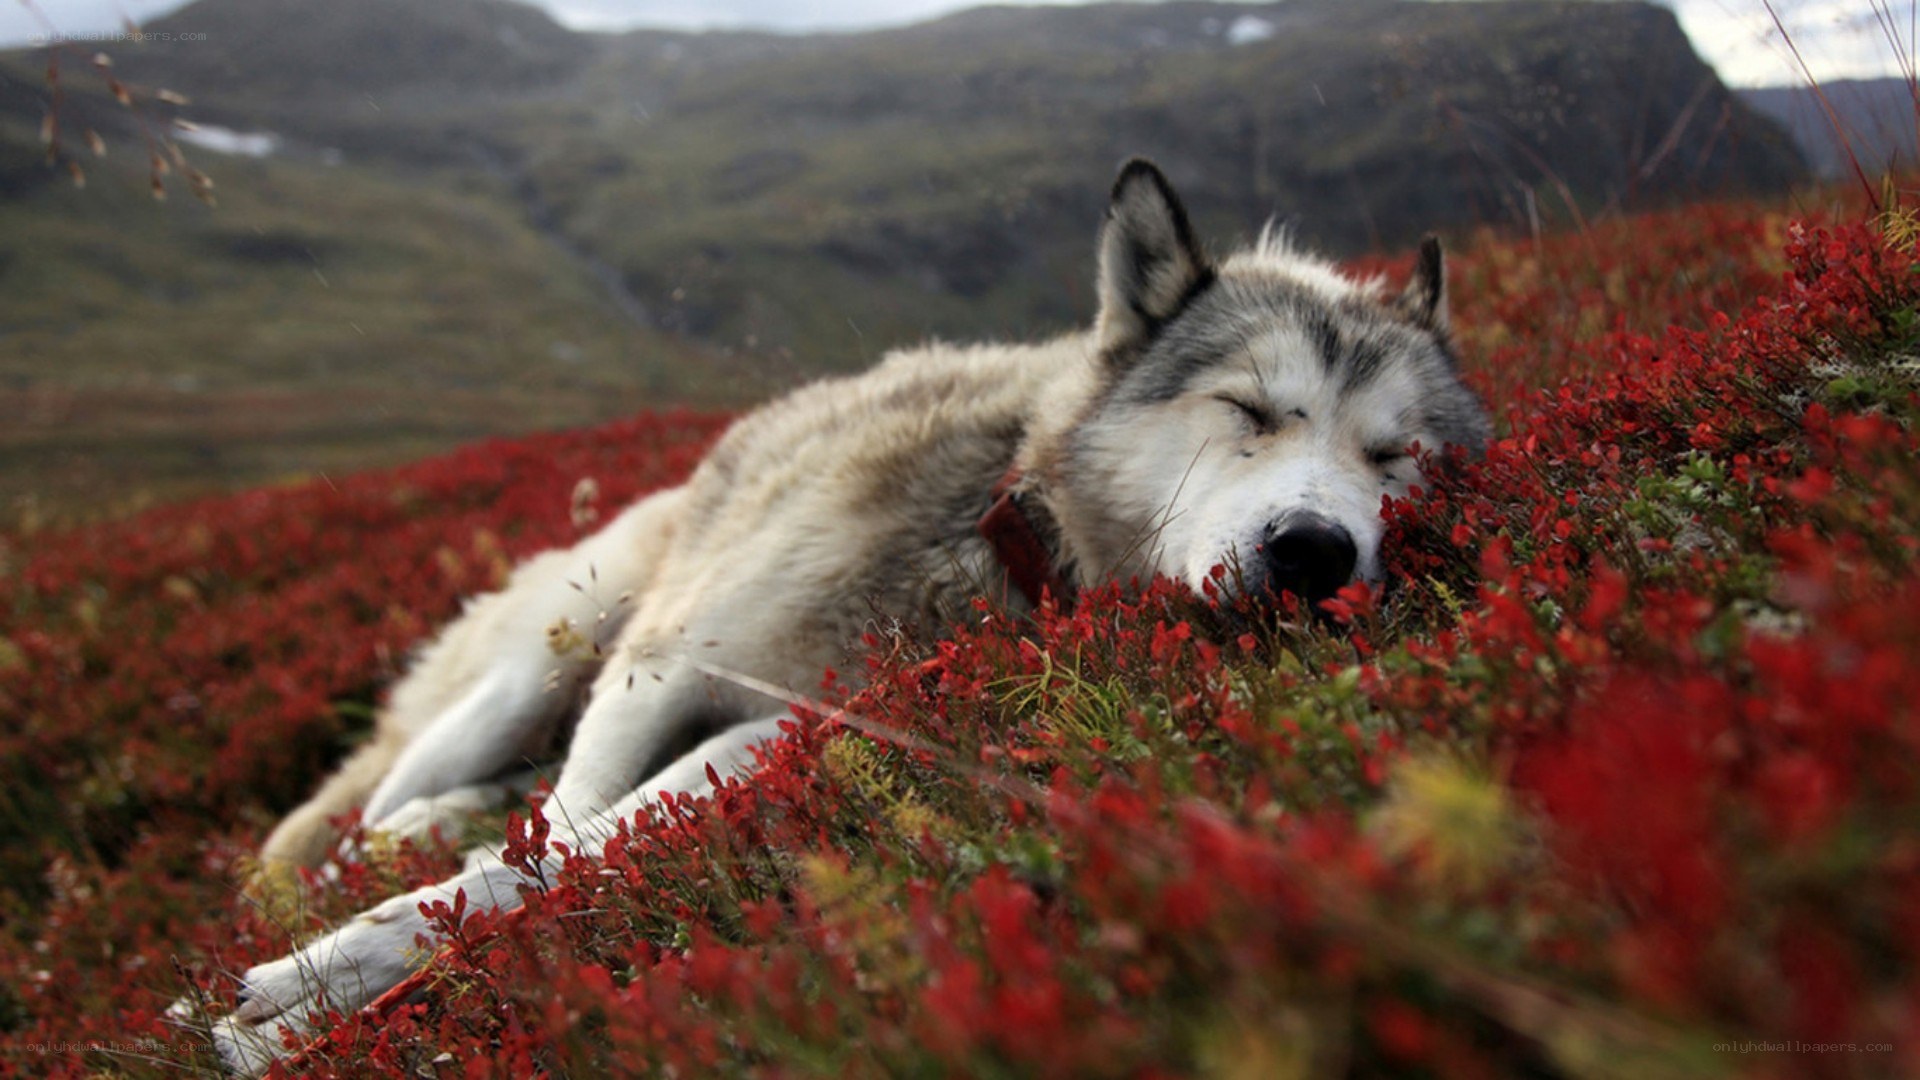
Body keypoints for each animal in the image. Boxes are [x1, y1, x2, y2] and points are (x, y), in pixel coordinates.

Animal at [194, 159, 1488, 1072]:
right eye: (1249, 410)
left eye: (1396, 457)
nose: (1315, 552)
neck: (993, 530)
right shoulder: (659, 669)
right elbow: (556, 833)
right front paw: (323, 978)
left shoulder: (787, 730)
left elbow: (573, 851)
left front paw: (327, 992)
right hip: (547, 660)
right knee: (367, 807)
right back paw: (349, 859)